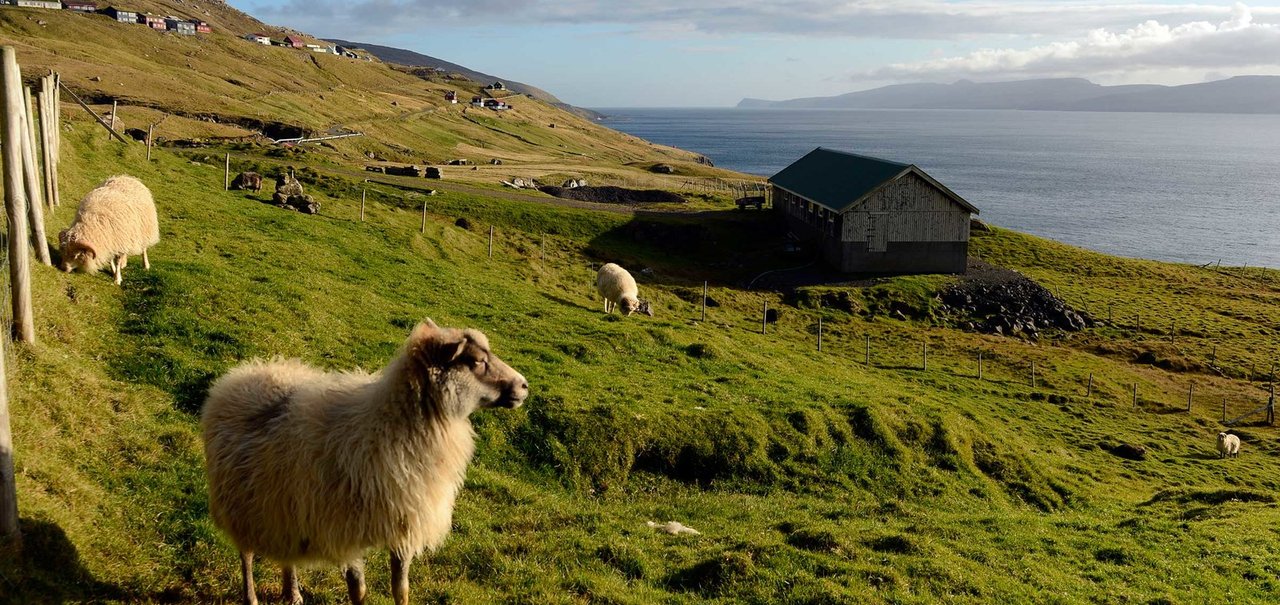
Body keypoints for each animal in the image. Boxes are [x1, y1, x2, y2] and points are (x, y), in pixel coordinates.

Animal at [200, 318, 529, 601]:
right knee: (246, 555)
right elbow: (358, 590)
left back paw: (292, 593)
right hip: (239, 503)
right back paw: (251, 597)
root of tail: (247, 372)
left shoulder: (403, 523)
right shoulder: (345, 531)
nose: (524, 385)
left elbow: (401, 588)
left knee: (285, 551)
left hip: (281, 506)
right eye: (475, 362)